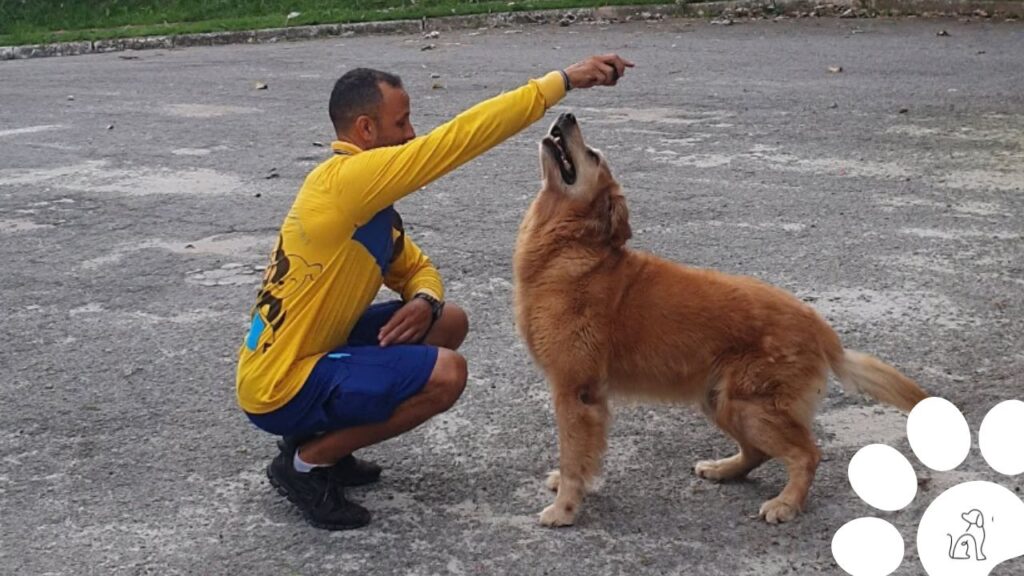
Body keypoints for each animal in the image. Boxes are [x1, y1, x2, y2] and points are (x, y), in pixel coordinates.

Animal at [512, 112, 929, 524]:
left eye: (593, 155)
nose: (566, 114)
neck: (569, 249)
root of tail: (819, 327)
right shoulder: (589, 398)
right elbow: (583, 457)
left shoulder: (575, 392)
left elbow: (572, 455)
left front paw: (565, 508)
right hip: (721, 402)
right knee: (760, 453)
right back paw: (724, 470)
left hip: (751, 407)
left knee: (807, 454)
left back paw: (786, 503)